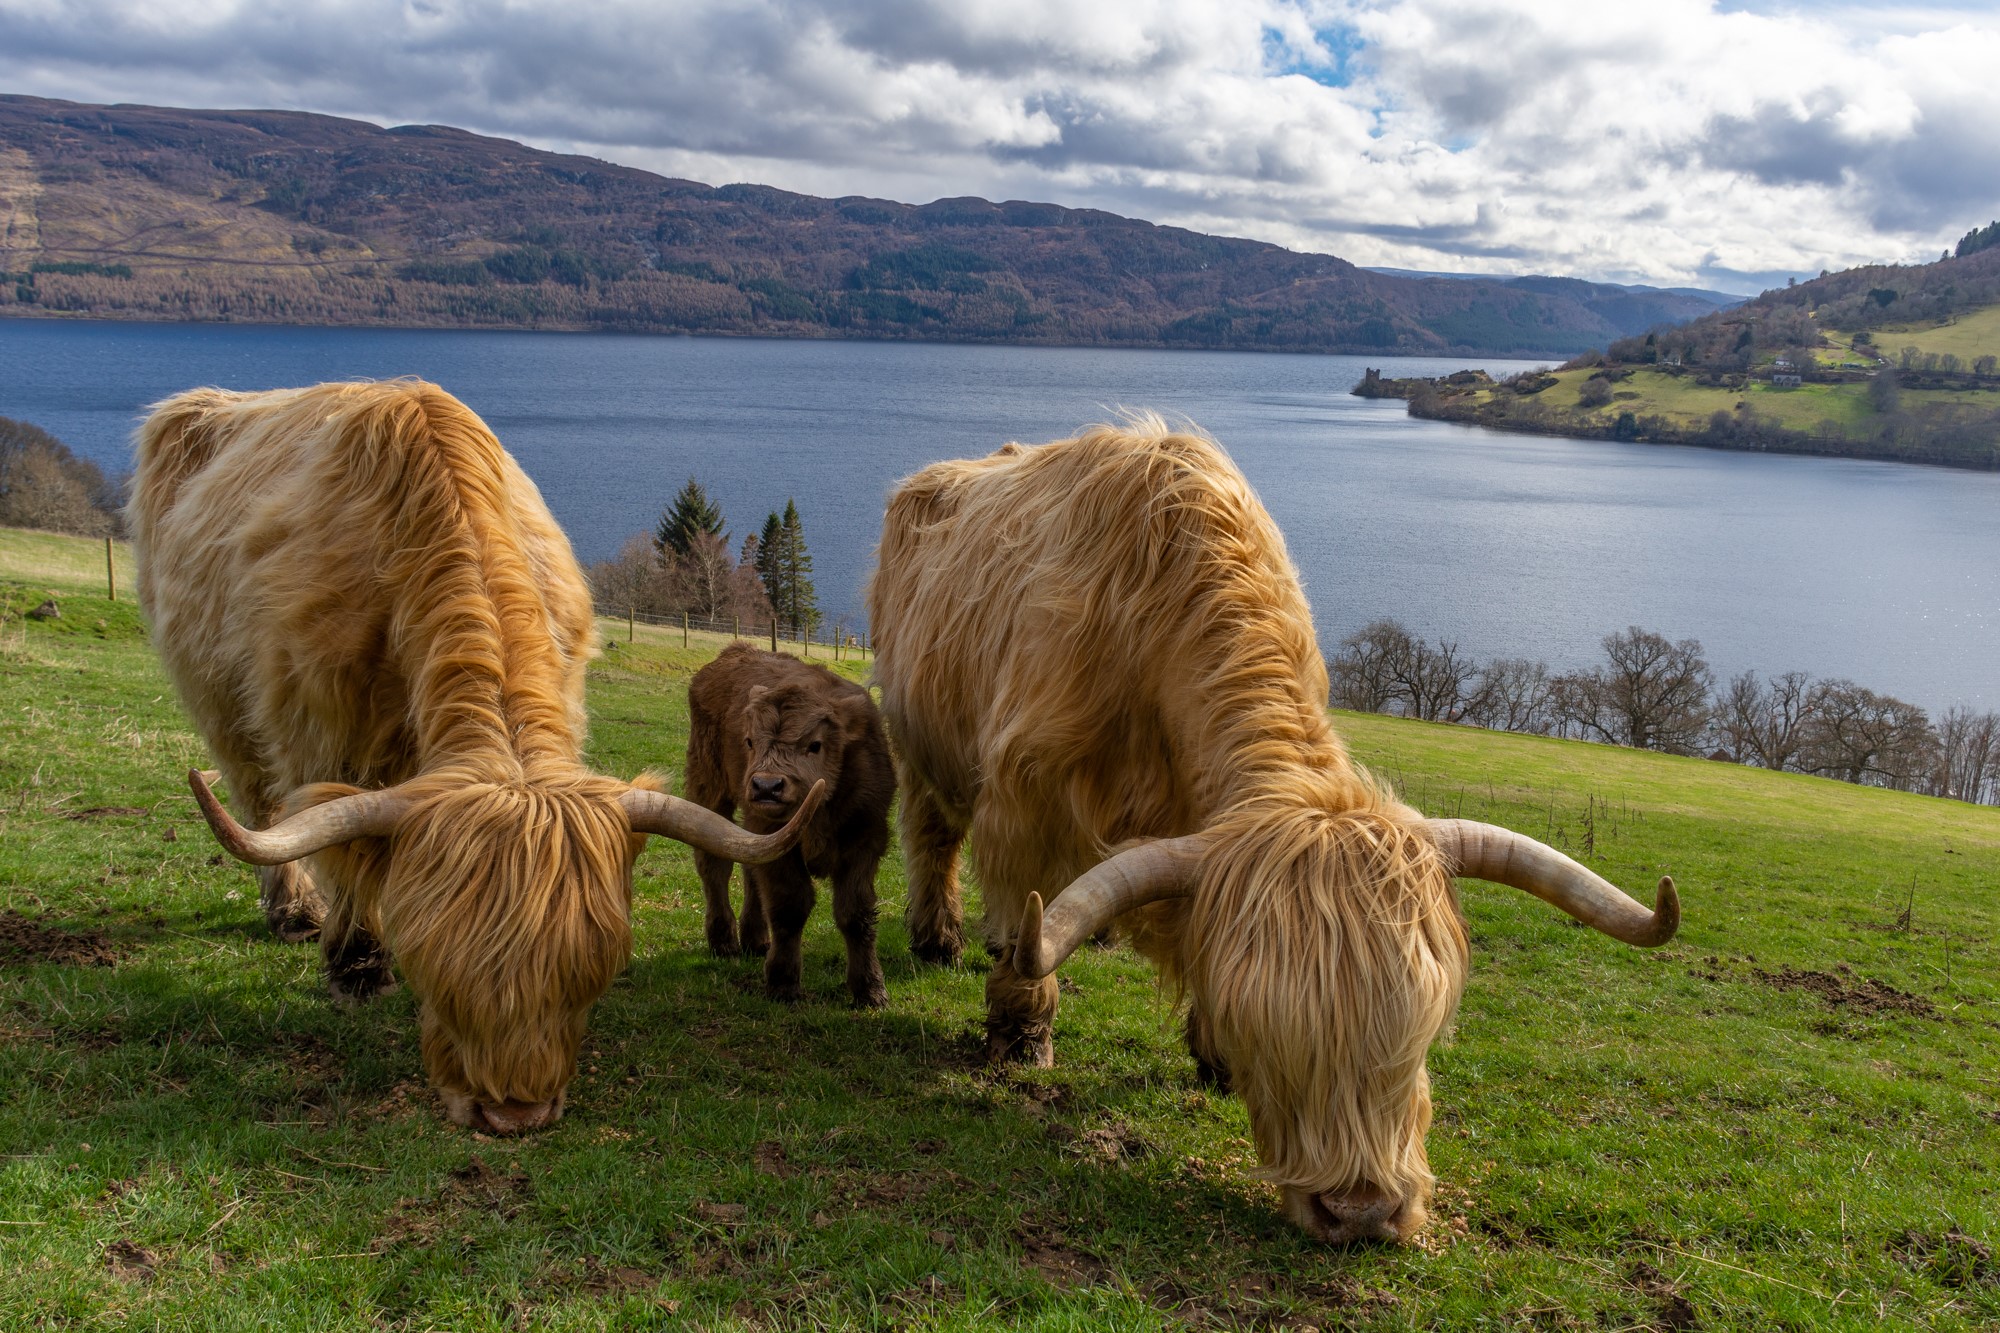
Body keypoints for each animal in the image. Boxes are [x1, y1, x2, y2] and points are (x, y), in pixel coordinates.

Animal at [133, 376, 820, 1128]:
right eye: (434, 972)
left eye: (590, 977)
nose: (514, 1113)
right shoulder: (317, 723)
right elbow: (338, 841)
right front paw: (357, 967)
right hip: (220, 700)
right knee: (261, 802)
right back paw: (294, 914)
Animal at [688, 640, 892, 996]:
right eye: (749, 741)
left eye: (815, 745)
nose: (766, 787)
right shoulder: (776, 840)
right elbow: (790, 905)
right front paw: (783, 983)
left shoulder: (865, 841)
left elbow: (856, 913)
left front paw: (869, 988)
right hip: (709, 788)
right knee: (714, 865)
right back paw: (723, 940)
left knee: (747, 869)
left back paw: (755, 939)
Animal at [868, 420, 1680, 1240]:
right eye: (1273, 1035)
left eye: (1425, 1033)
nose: (1360, 1210)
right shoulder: (1024, 799)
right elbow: (1023, 919)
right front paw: (1021, 1033)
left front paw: (1210, 1056)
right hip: (918, 738)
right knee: (932, 833)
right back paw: (938, 939)